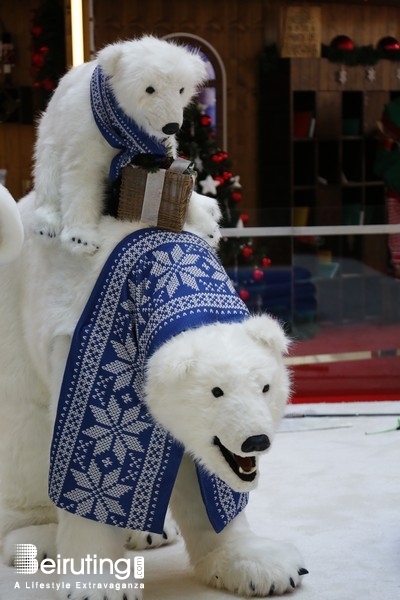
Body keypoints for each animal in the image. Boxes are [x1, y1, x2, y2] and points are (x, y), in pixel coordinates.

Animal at [0, 185, 310, 596]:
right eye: (216, 392)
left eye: (265, 387)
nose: (255, 441)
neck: (166, 268)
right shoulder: (92, 347)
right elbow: (89, 453)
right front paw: (98, 584)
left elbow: (200, 470)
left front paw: (261, 567)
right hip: (14, 332)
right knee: (26, 437)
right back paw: (36, 539)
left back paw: (152, 532)